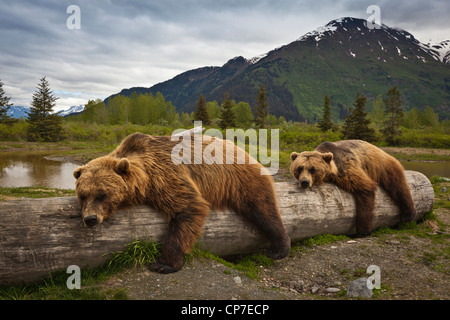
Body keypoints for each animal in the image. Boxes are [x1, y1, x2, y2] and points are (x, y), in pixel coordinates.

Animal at [73, 131, 292, 274]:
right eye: (83, 195)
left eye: (102, 194)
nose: (90, 218)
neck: (144, 179)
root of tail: (243, 150)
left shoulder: (166, 175)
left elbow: (188, 208)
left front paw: (163, 264)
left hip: (240, 178)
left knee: (262, 208)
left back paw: (279, 247)